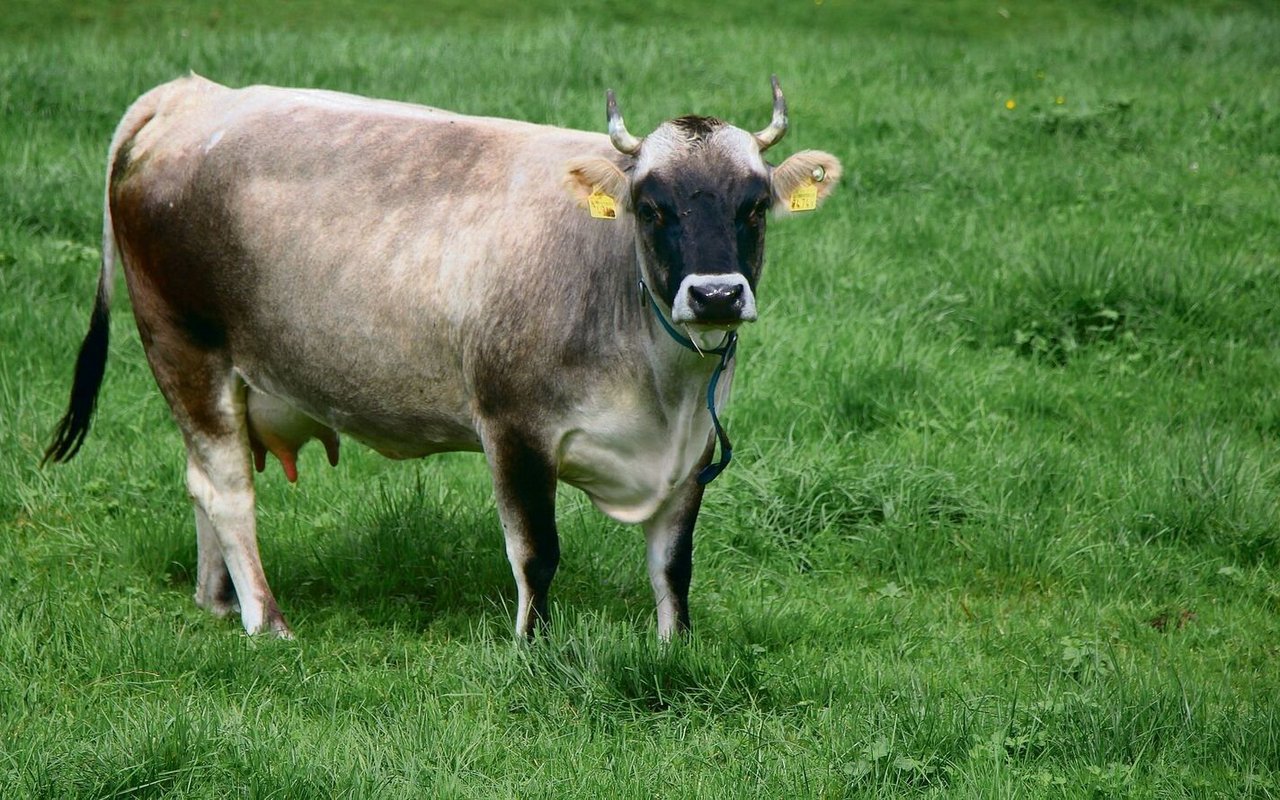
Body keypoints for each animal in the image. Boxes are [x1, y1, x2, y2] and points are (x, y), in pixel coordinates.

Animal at [42, 73, 839, 637]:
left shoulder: (694, 449)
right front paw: (534, 650)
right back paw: (265, 620)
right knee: (226, 488)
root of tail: (192, 94)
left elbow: (673, 567)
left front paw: (675, 647)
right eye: (652, 207)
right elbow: (536, 553)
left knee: (204, 478)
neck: (660, 388)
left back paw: (217, 601)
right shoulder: (514, 427)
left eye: (754, 206)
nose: (715, 294)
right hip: (186, 346)